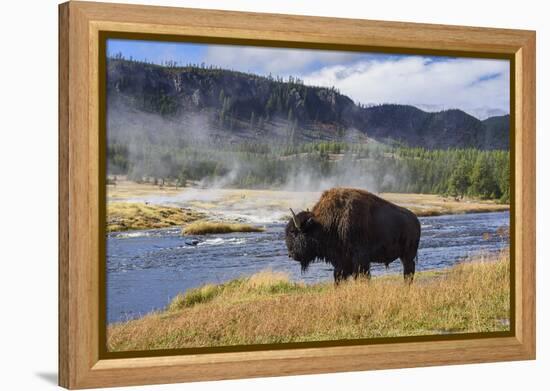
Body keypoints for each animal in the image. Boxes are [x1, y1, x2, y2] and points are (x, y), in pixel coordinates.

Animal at [286, 188, 420, 284]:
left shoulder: (360, 259)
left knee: (409, 270)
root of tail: (416, 220)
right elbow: (338, 277)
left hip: (407, 255)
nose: (290, 254)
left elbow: (363, 276)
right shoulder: (341, 261)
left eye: (293, 232)